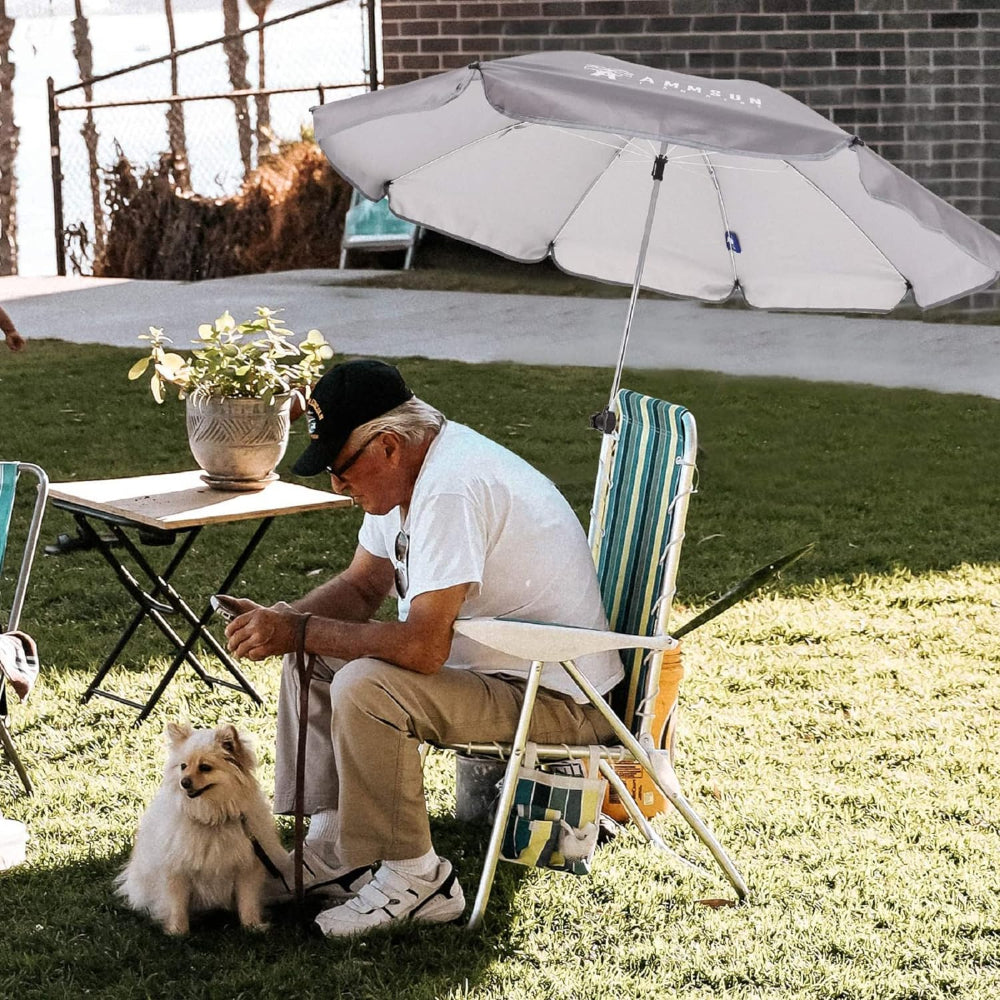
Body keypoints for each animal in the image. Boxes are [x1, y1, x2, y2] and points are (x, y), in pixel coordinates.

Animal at [119, 724, 290, 932]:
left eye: (205, 767)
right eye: (183, 766)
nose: (184, 782)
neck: (211, 817)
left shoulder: (247, 866)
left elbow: (247, 900)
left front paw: (252, 926)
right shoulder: (176, 870)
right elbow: (177, 904)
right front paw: (178, 932)